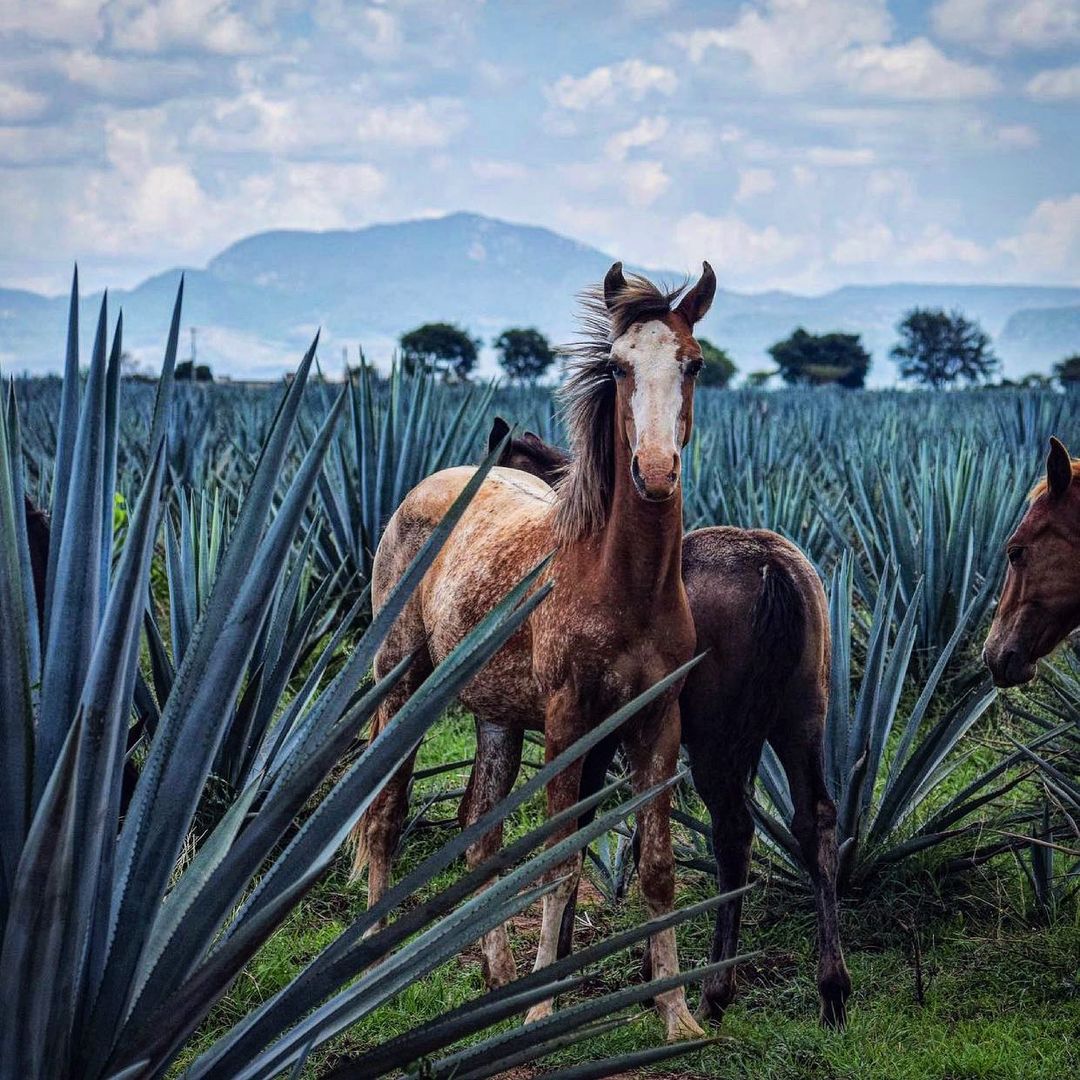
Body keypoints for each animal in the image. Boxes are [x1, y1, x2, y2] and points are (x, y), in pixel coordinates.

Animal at [347, 261, 717, 1036]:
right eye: (618, 365)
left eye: (693, 363)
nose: (656, 471)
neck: (622, 582)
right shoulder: (570, 725)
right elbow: (557, 863)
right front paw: (542, 1010)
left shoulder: (658, 722)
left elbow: (658, 870)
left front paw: (676, 1015)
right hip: (400, 686)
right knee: (386, 811)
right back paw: (371, 963)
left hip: (496, 719)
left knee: (479, 834)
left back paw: (496, 974)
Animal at [473, 416, 851, 1023]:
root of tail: (768, 565)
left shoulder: (596, 732)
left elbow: (582, 824)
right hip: (800, 724)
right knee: (814, 821)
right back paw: (831, 990)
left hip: (717, 744)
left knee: (733, 831)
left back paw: (715, 991)